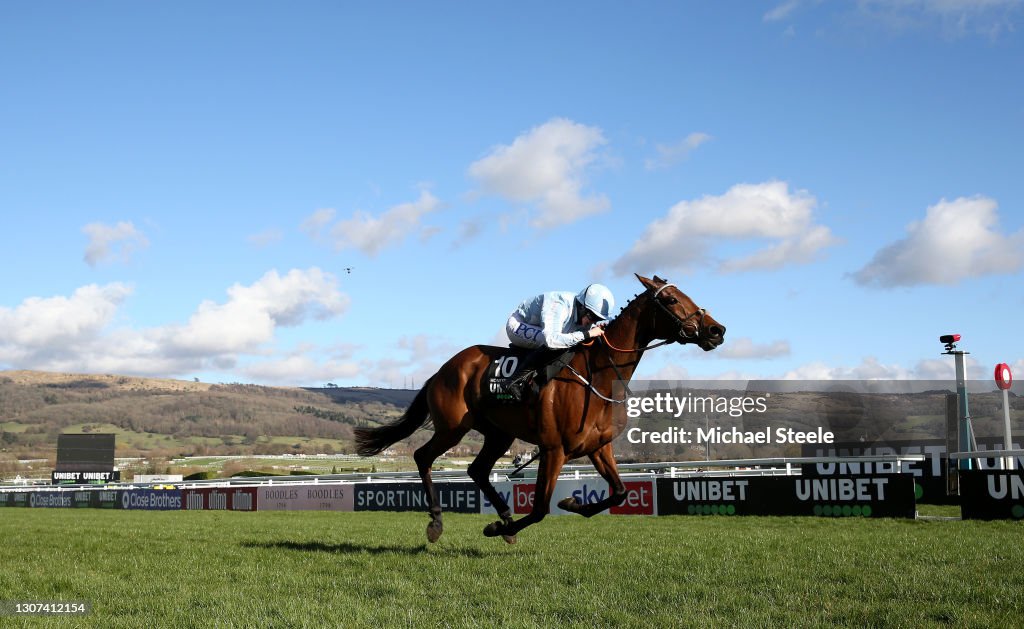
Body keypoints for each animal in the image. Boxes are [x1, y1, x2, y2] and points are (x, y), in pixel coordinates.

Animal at [356, 274, 724, 544]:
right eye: (671, 299)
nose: (716, 330)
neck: (599, 375)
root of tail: (442, 370)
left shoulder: (598, 447)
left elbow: (619, 493)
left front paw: (571, 502)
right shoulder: (553, 448)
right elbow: (539, 509)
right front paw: (500, 528)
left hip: (498, 434)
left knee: (477, 469)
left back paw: (503, 515)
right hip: (453, 427)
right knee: (423, 456)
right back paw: (437, 521)